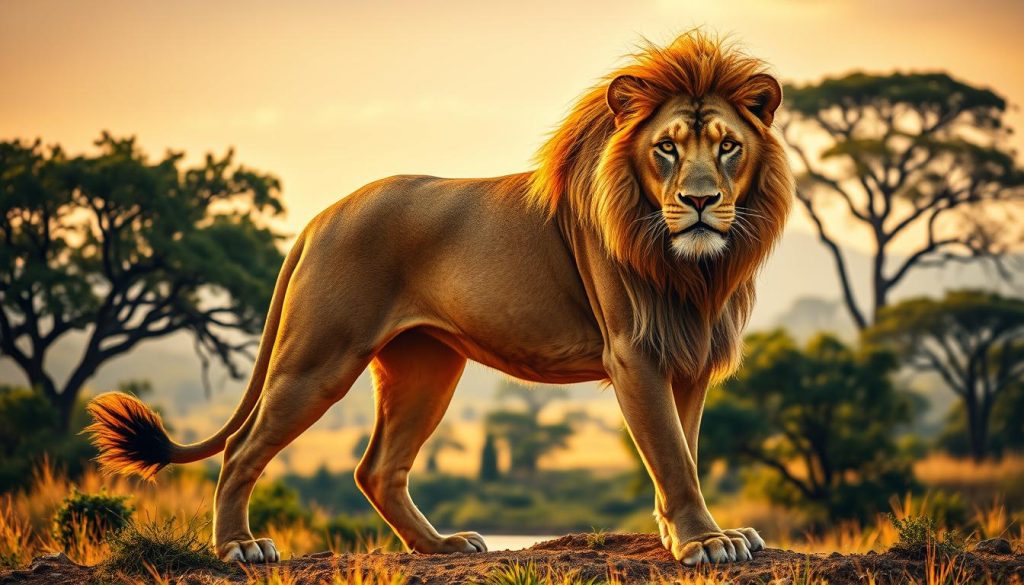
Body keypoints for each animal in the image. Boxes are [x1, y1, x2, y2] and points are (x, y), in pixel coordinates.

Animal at [86, 32, 793, 566]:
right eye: (666, 148)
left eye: (728, 147)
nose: (699, 200)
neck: (695, 269)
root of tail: (321, 215)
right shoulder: (635, 352)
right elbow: (672, 453)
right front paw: (704, 541)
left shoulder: (688, 354)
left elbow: (687, 449)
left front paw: (689, 534)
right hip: (318, 360)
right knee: (242, 448)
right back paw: (239, 547)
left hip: (426, 367)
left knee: (376, 469)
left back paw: (441, 546)